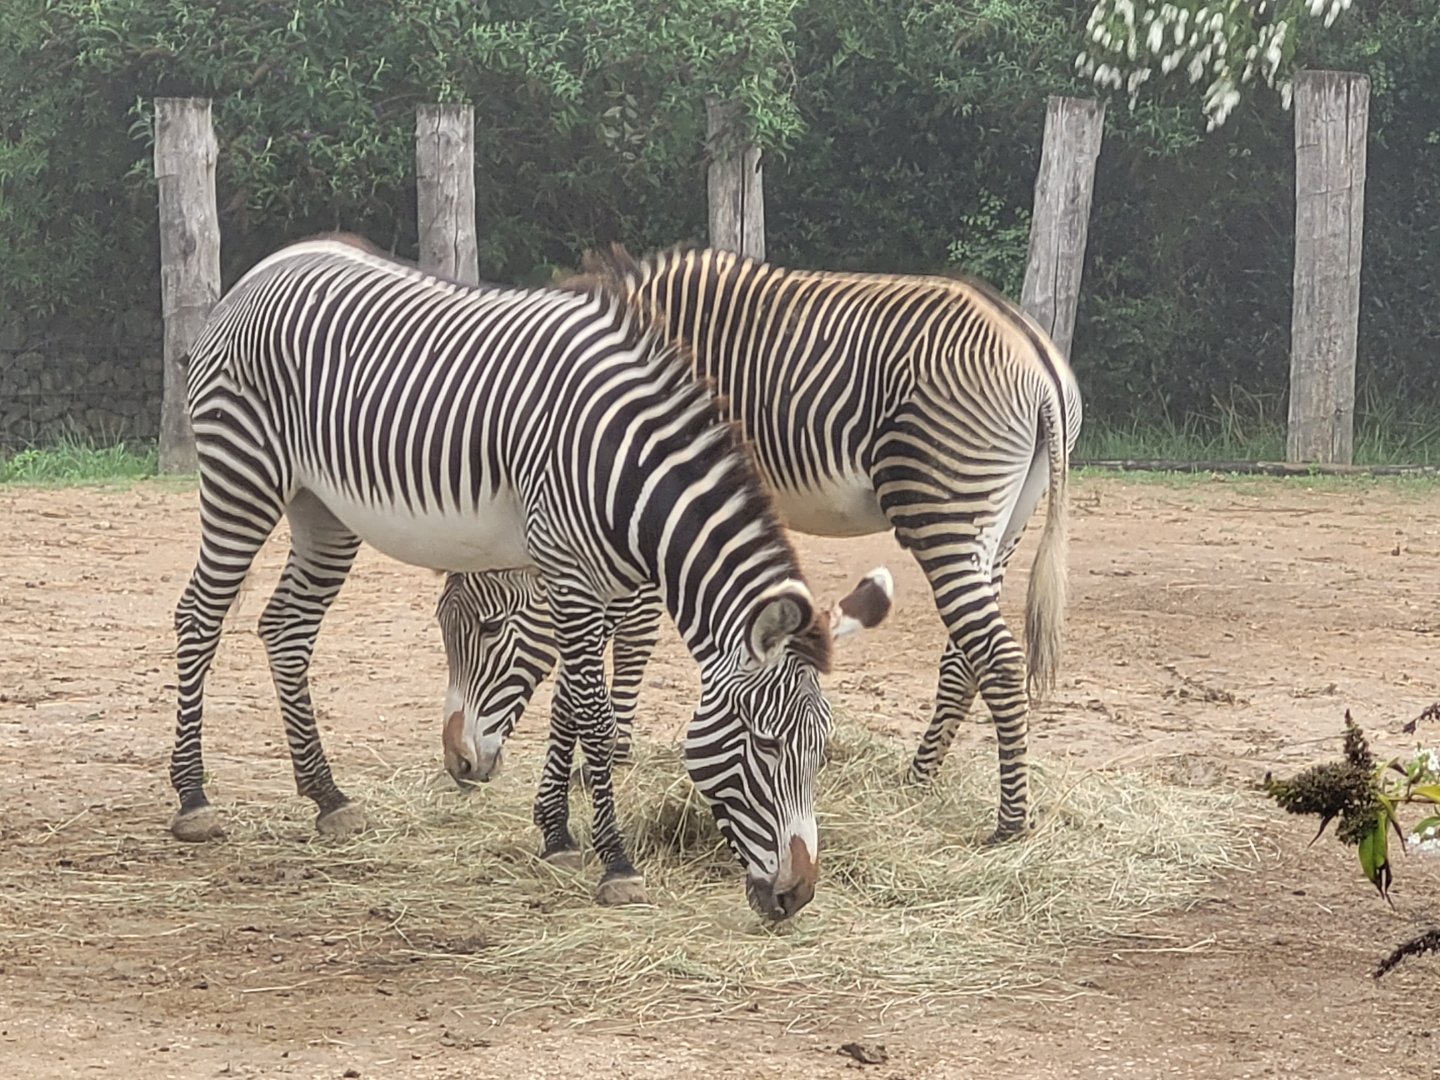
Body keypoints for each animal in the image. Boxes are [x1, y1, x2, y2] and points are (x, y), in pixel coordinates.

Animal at [168, 234, 890, 917]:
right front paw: (617, 864)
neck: (626, 467)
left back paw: (327, 796)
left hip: (323, 507)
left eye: (820, 752)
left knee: (286, 627)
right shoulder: (569, 574)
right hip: (243, 473)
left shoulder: (595, 584)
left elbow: (570, 701)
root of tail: (268, 267)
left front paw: (557, 833)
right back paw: (193, 797)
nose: (796, 896)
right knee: (199, 615)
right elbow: (594, 715)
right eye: (765, 746)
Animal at [440, 246, 1082, 843]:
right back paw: (919, 779)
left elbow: (627, 637)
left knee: (997, 657)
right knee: (965, 656)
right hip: (1000, 525)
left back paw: (1009, 823)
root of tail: (1034, 352)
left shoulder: (643, 497)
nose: (461, 766)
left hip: (944, 509)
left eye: (489, 627)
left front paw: (609, 756)